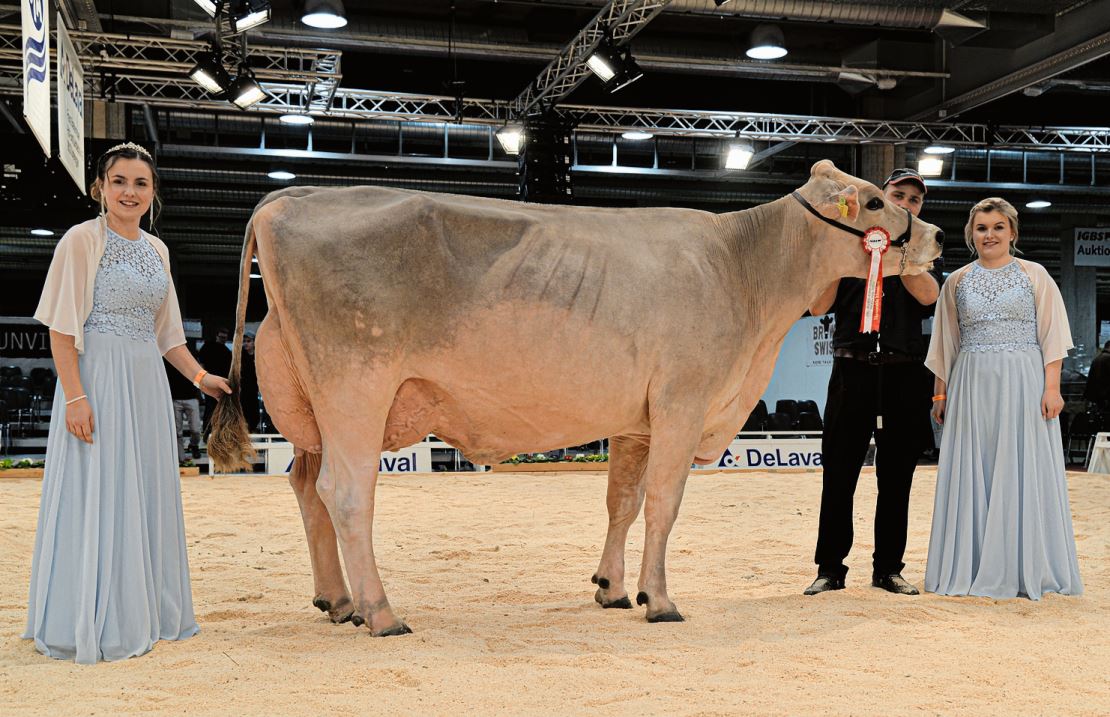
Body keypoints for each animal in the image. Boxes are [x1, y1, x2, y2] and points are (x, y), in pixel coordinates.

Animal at [206, 159, 936, 639]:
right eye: (875, 202)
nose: (931, 236)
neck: (741, 267)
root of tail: (288, 200)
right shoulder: (682, 401)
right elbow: (664, 504)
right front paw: (659, 598)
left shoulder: (638, 421)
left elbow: (623, 502)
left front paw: (612, 588)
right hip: (355, 385)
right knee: (346, 492)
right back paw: (382, 612)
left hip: (309, 402)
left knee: (306, 488)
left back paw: (338, 601)